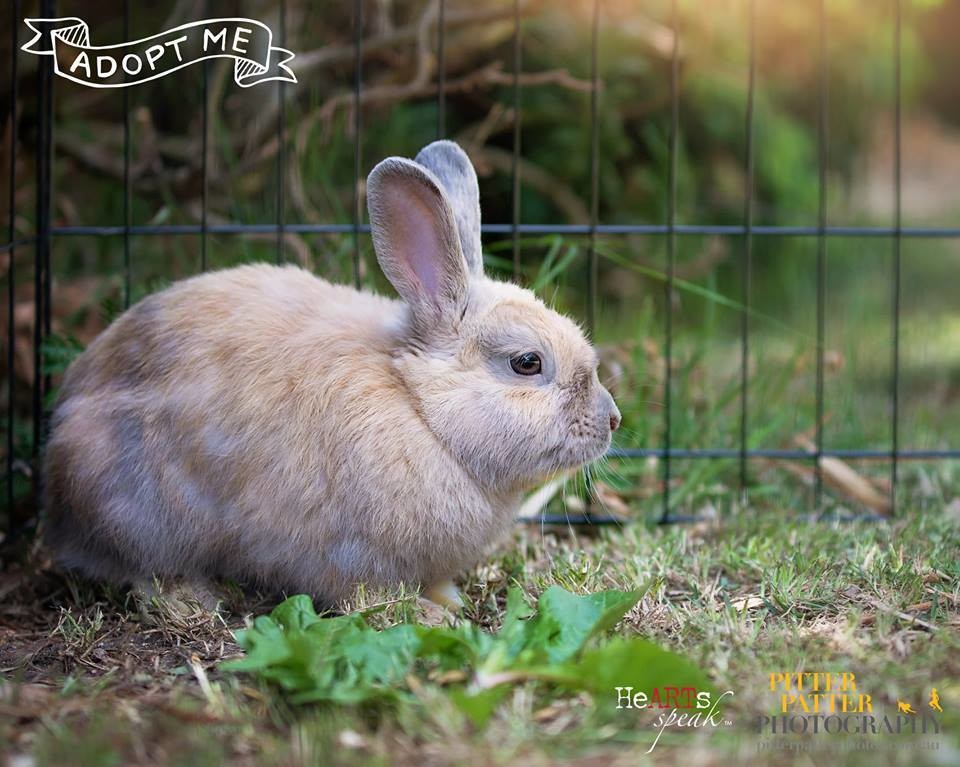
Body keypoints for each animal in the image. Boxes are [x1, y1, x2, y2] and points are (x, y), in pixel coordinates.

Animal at [42, 140, 621, 608]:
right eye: (527, 363)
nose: (612, 419)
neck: (419, 408)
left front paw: (448, 601)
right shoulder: (346, 554)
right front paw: (429, 616)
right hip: (134, 510)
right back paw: (190, 599)